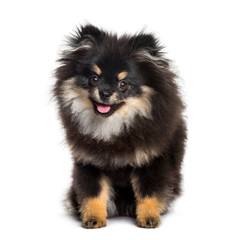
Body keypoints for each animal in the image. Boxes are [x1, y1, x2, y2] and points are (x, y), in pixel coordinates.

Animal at [53, 24, 187, 229]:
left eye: (123, 84)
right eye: (94, 79)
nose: (105, 93)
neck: (113, 126)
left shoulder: (151, 161)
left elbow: (148, 193)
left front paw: (149, 218)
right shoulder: (90, 161)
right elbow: (93, 193)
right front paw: (93, 218)